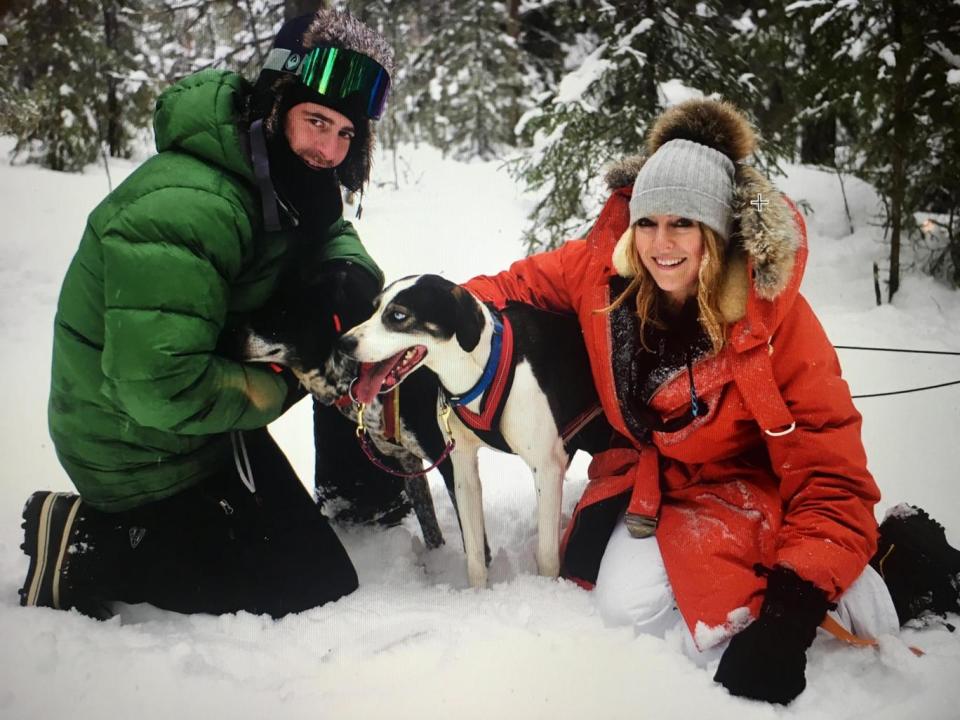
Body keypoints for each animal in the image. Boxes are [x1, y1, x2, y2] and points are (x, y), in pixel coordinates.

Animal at [338, 272, 608, 588]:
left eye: (398, 315)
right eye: (374, 308)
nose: (343, 343)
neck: (478, 372)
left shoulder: (547, 467)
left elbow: (547, 556)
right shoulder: (462, 469)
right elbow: (475, 554)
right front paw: (478, 595)